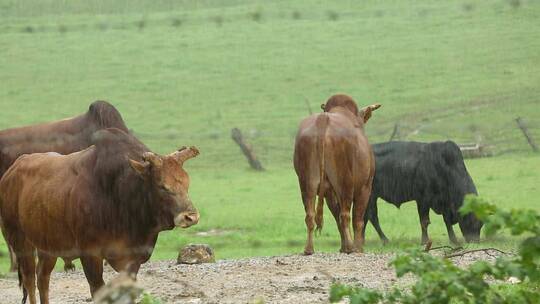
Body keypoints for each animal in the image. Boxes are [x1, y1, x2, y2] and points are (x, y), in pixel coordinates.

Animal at [0, 128, 199, 304]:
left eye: (187, 183)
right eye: (162, 185)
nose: (191, 217)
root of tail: (11, 171)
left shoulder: (132, 260)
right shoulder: (91, 255)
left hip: (48, 246)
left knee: (43, 278)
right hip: (21, 242)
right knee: (30, 280)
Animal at [294, 94, 378, 254]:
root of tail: (323, 119)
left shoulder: (329, 193)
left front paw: (343, 247)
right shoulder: (365, 187)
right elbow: (358, 220)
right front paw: (358, 248)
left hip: (307, 183)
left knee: (310, 215)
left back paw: (309, 249)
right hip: (344, 182)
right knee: (345, 215)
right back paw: (351, 247)